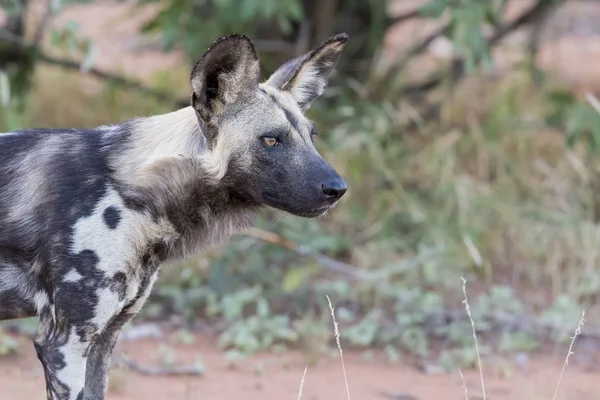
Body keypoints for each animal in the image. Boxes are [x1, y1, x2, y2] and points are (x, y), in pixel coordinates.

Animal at [0, 32, 346, 398]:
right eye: (270, 140)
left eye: (312, 136)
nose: (338, 188)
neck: (134, 191)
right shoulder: (64, 344)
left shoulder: (103, 338)